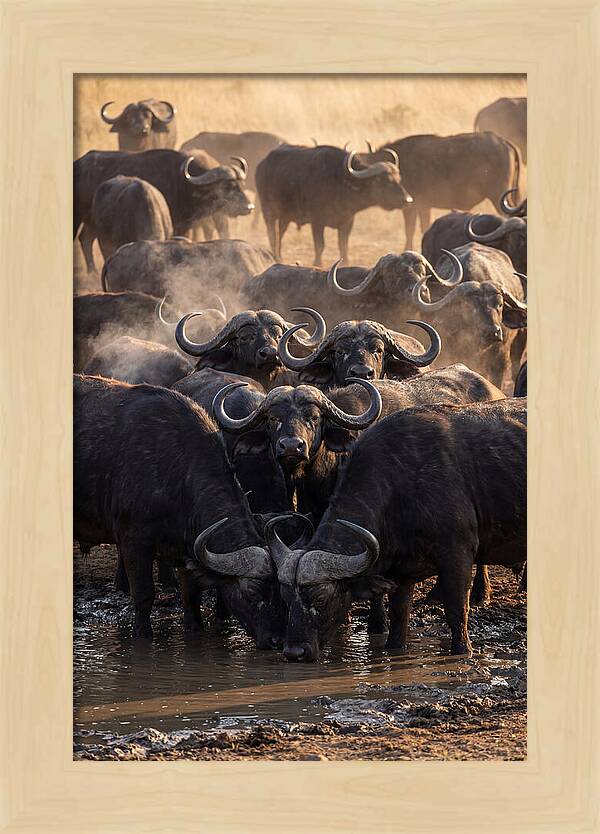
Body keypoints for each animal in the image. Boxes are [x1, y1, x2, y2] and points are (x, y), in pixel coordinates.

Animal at [256, 145, 413, 265]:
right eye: (383, 181)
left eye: (398, 178)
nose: (407, 200)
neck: (340, 182)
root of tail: (261, 165)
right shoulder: (317, 221)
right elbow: (320, 245)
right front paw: (317, 263)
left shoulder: (348, 221)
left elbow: (343, 245)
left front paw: (346, 262)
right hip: (268, 211)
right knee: (272, 234)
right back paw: (276, 257)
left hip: (285, 216)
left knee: (280, 233)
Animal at [267, 398, 526, 661]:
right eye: (286, 597)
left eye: (320, 597)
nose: (295, 652)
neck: (401, 486)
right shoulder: (401, 573)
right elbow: (398, 618)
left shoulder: (457, 554)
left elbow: (456, 612)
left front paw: (463, 651)